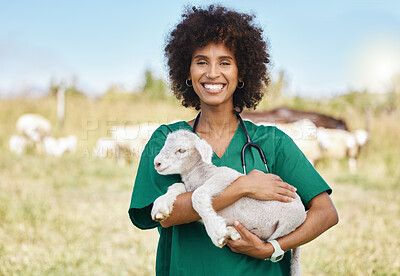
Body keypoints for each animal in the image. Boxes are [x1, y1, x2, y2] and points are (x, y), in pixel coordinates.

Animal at [150, 130, 306, 276]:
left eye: (181, 150)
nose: (157, 163)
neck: (198, 175)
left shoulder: (226, 175)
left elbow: (197, 195)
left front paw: (216, 232)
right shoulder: (188, 187)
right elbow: (176, 186)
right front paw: (160, 207)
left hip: (288, 223)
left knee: (268, 241)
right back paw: (233, 231)